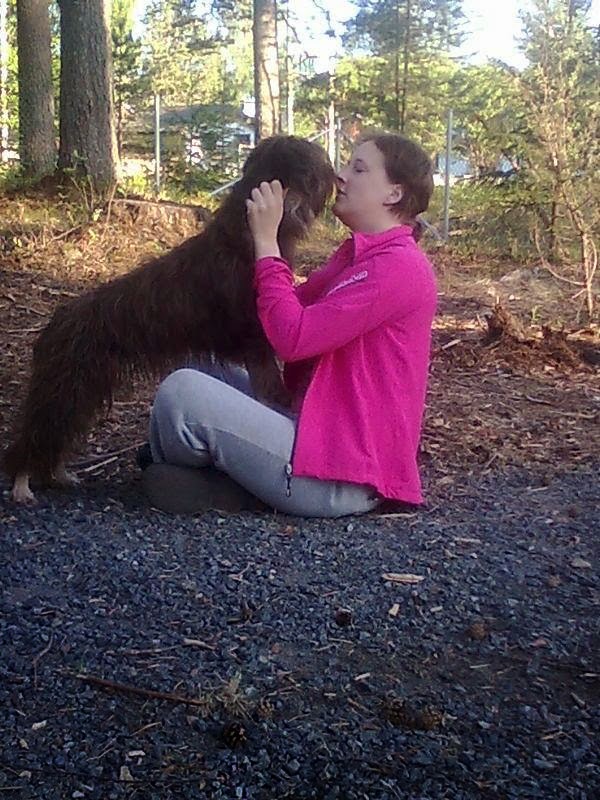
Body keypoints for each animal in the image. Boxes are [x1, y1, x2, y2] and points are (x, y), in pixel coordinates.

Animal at [4, 135, 335, 503]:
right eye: (311, 162)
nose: (334, 173)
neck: (246, 234)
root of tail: (54, 323)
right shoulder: (257, 342)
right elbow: (269, 382)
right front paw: (280, 402)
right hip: (64, 388)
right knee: (35, 435)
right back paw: (22, 484)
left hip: (83, 389)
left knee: (58, 436)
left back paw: (59, 475)